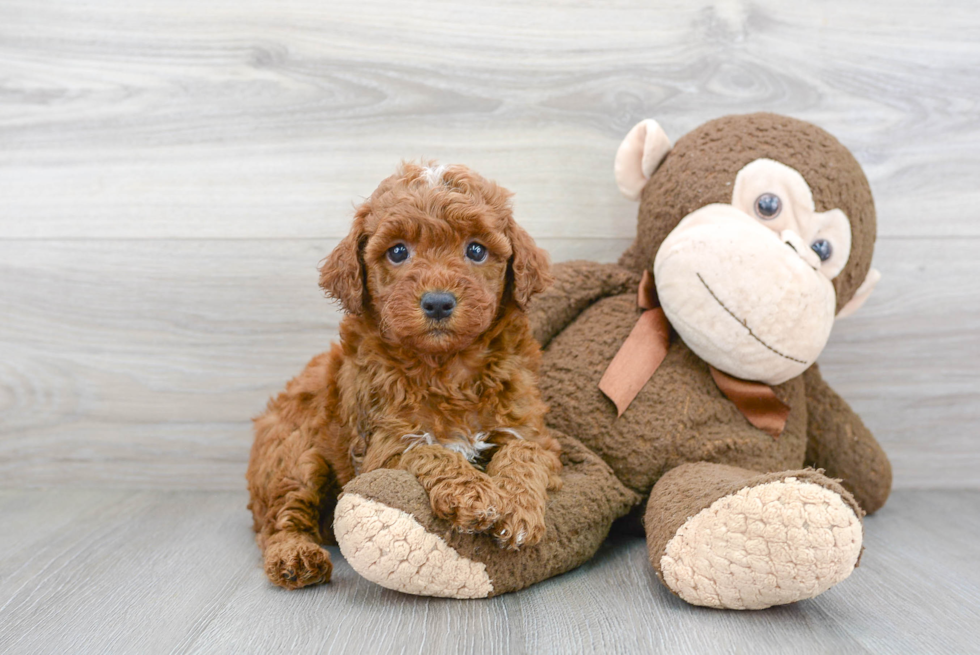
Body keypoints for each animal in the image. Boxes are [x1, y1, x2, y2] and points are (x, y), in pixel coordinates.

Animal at [249, 163, 564, 588]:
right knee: (280, 519)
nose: (438, 302)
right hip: (293, 459)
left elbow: (524, 453)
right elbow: (430, 450)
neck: (447, 368)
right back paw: (295, 557)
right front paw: (476, 495)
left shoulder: (530, 429)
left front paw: (516, 507)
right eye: (398, 251)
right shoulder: (382, 445)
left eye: (476, 250)